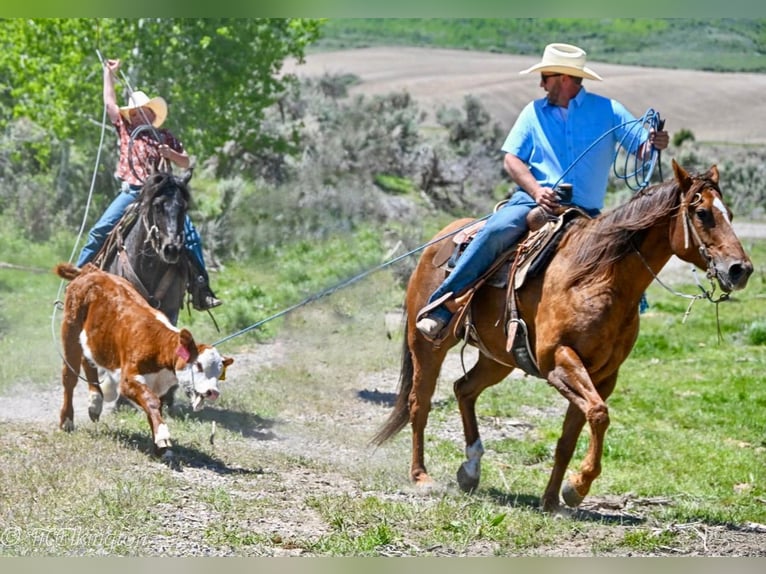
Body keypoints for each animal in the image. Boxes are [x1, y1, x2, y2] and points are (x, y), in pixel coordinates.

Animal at [372, 159, 753, 513]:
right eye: (702, 213)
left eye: (730, 214)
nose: (741, 270)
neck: (597, 276)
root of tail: (439, 240)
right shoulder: (559, 360)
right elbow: (598, 414)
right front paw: (577, 486)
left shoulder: (602, 375)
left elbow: (572, 436)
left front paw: (553, 499)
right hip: (427, 345)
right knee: (419, 403)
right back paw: (421, 476)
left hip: (499, 358)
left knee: (464, 388)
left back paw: (470, 469)